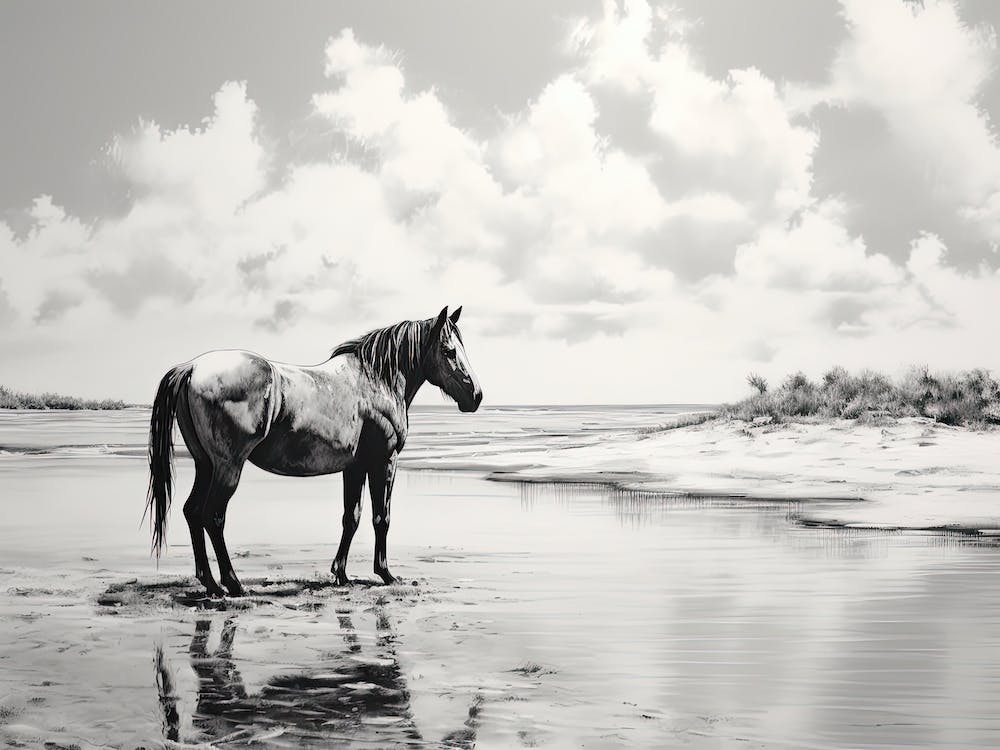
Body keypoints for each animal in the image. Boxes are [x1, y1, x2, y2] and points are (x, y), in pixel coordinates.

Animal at [144, 306, 482, 597]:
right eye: (449, 351)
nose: (476, 395)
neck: (376, 382)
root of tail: (191, 367)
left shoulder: (354, 467)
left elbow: (352, 517)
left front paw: (341, 574)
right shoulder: (384, 461)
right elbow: (381, 517)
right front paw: (385, 574)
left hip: (205, 465)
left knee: (192, 512)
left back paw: (211, 584)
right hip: (228, 467)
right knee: (212, 516)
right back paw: (233, 584)